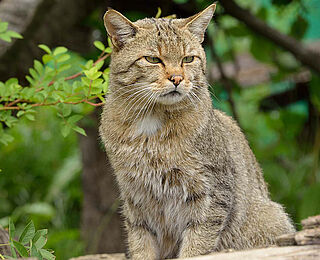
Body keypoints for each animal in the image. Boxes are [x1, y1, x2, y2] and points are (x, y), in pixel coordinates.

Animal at [99, 3, 296, 258]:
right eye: (153, 59)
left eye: (188, 59)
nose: (177, 78)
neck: (150, 125)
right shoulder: (136, 199)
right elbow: (141, 246)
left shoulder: (212, 192)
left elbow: (196, 245)